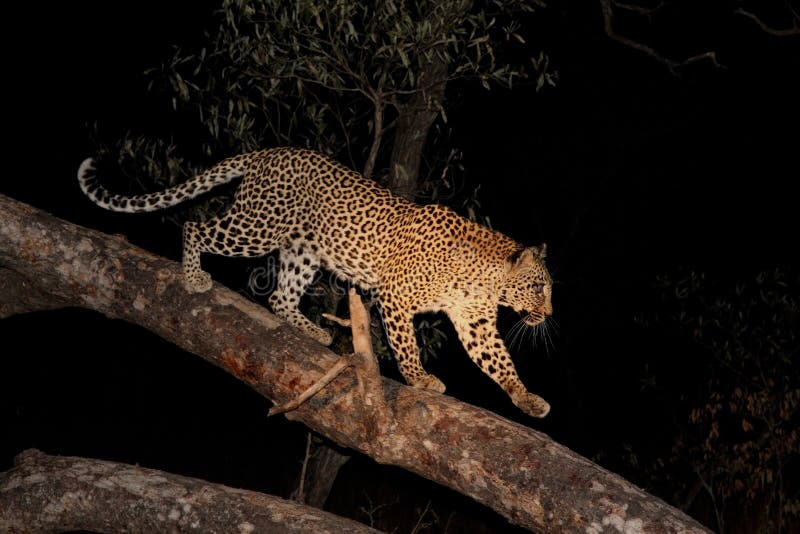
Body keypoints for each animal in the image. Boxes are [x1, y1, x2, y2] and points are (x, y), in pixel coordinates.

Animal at [78, 147, 552, 418]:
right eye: (539, 287)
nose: (547, 313)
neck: (483, 281)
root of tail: (269, 151)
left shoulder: (476, 322)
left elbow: (498, 361)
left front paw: (526, 397)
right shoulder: (395, 297)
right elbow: (407, 346)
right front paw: (420, 380)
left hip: (302, 249)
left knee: (279, 297)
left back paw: (314, 331)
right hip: (258, 226)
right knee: (196, 227)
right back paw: (194, 277)